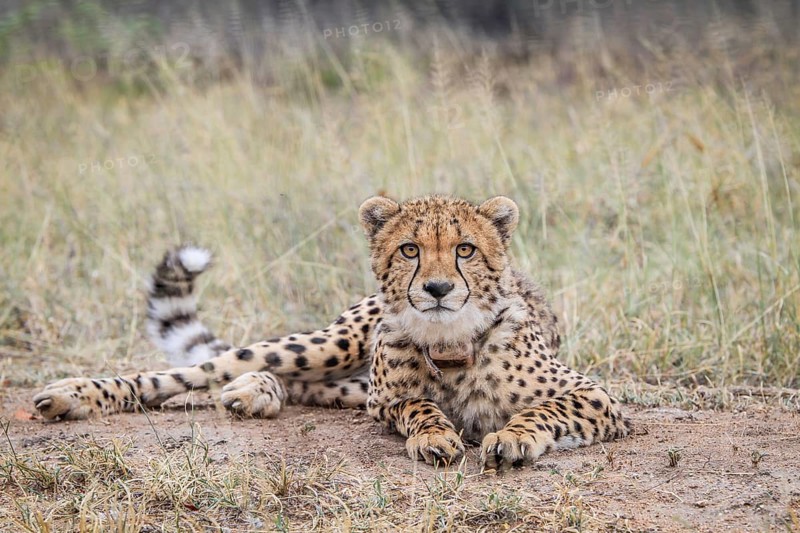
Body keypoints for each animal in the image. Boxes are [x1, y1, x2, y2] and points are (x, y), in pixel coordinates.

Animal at [32, 195, 630, 469]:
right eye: (409, 249)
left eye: (465, 249)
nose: (437, 288)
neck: (450, 342)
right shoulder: (387, 400)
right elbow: (419, 405)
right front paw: (435, 434)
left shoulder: (599, 397)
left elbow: (544, 408)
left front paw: (512, 436)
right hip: (333, 343)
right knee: (198, 369)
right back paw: (73, 394)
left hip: (343, 380)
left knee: (296, 383)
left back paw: (257, 394)